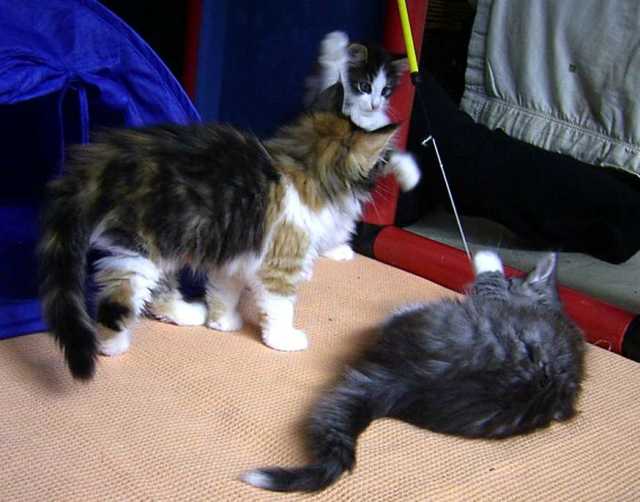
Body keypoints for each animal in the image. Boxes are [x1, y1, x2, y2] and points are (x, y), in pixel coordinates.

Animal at [38, 82, 399, 380]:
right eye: (380, 160)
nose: (389, 164)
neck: (304, 168)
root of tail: (103, 156)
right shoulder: (280, 262)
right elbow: (280, 306)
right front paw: (283, 339)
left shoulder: (236, 252)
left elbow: (225, 290)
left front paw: (222, 322)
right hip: (141, 249)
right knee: (117, 301)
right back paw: (112, 346)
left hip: (164, 246)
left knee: (158, 295)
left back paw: (188, 313)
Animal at [242, 251, 586, 492]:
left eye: (515, 280)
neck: (553, 311)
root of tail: (405, 384)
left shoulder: (495, 296)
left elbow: (490, 281)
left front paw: (487, 257)